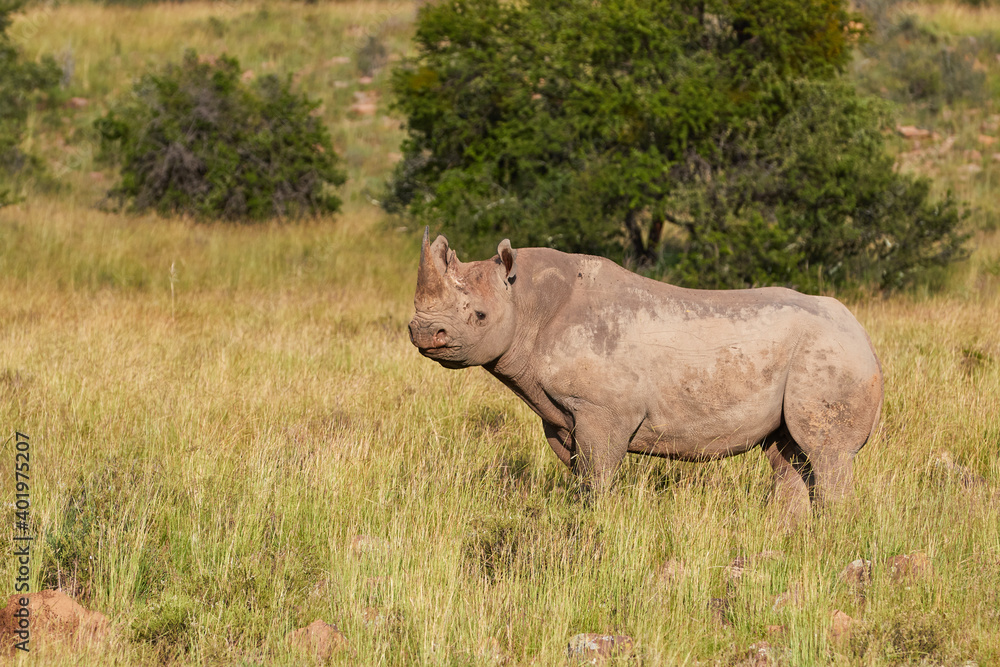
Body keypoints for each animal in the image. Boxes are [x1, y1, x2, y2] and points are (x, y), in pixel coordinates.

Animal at [408, 230, 883, 516]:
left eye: (480, 316)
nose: (424, 333)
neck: (526, 300)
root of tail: (864, 335)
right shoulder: (561, 414)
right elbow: (580, 471)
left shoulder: (603, 410)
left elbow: (597, 476)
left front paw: (594, 523)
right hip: (822, 354)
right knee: (788, 455)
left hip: (832, 355)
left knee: (827, 454)